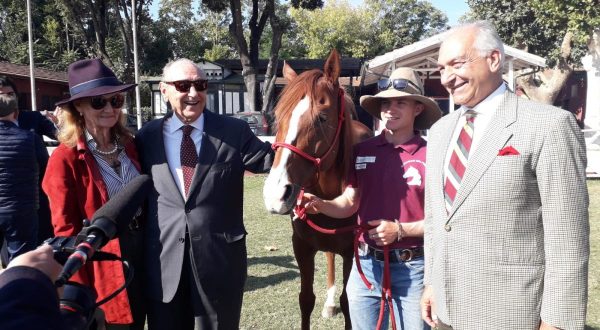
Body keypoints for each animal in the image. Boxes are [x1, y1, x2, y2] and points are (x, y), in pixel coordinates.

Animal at [262, 50, 370, 328]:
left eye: (322, 117)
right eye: (279, 117)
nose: (275, 195)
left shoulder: (352, 252)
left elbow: (349, 301)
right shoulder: (301, 247)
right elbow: (305, 299)